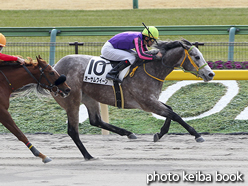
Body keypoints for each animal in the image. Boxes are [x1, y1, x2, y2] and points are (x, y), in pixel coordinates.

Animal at [52, 39, 215, 160]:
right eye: (196, 57)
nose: (210, 74)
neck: (150, 68)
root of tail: (55, 67)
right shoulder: (147, 102)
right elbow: (174, 115)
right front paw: (197, 135)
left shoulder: (152, 100)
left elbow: (170, 110)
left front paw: (159, 134)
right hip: (72, 100)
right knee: (73, 130)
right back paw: (88, 155)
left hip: (89, 97)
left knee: (95, 120)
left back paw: (128, 133)